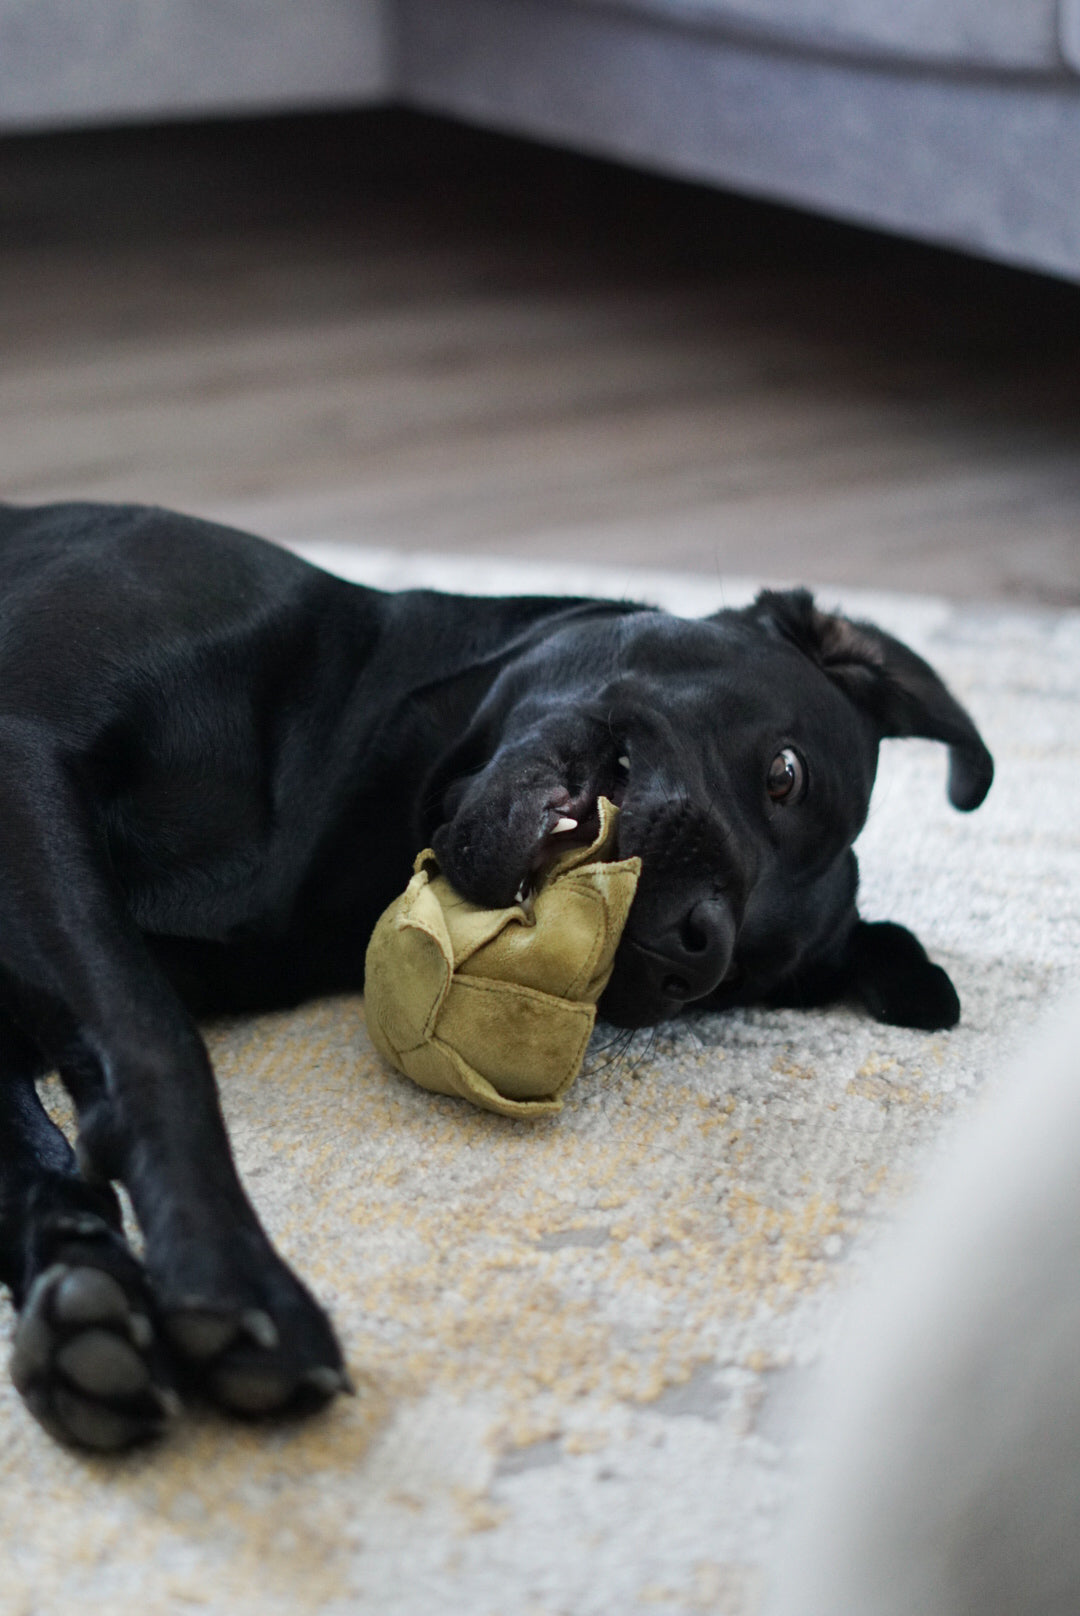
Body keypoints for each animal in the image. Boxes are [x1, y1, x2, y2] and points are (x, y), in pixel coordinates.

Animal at [0, 500, 989, 1454]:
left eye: (742, 978)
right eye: (786, 776)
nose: (695, 949)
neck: (342, 775)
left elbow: (37, 1139)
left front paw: (89, 1302)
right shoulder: (26, 756)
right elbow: (150, 1039)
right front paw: (224, 1267)